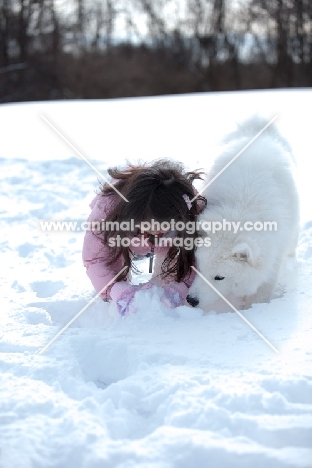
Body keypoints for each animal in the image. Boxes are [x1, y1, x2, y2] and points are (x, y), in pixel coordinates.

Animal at [188, 114, 300, 310]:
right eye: (199, 267)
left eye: (219, 277)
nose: (191, 300)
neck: (240, 210)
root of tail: (258, 125)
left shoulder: (273, 253)